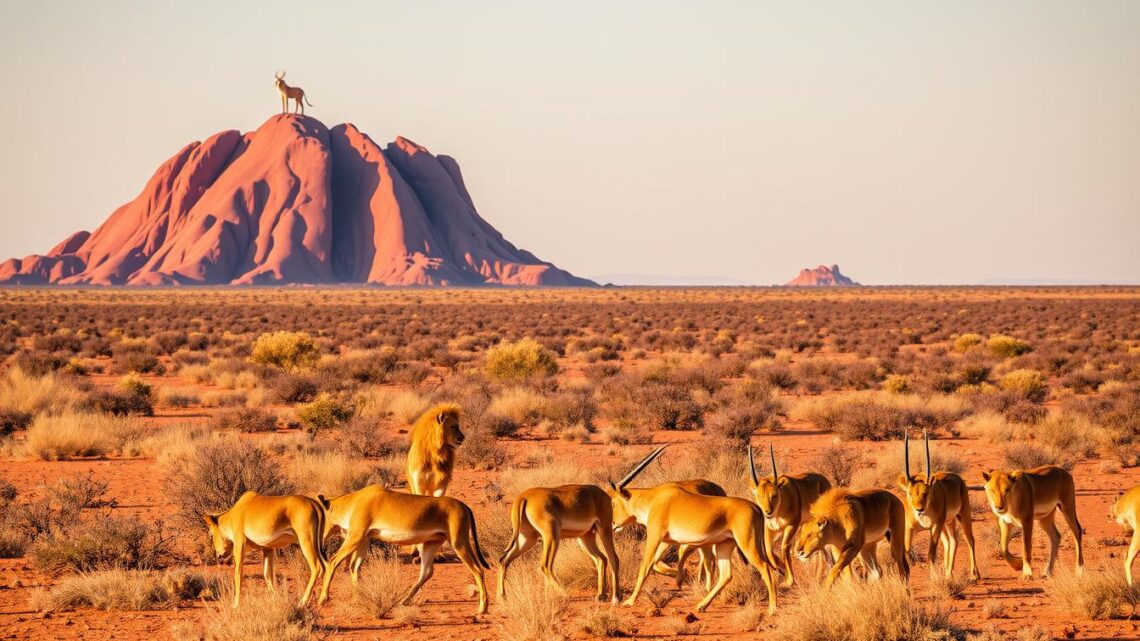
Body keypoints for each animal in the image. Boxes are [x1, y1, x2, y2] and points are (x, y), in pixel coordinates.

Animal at [316, 483, 490, 615]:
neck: (353, 502)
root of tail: (464, 506)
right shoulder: (363, 539)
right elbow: (355, 567)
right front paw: (357, 598)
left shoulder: (355, 537)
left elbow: (333, 561)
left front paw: (322, 598)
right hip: (431, 544)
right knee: (427, 572)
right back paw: (405, 600)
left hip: (459, 543)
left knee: (478, 569)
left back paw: (482, 608)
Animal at [611, 447, 779, 611]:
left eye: (613, 503)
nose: (613, 524)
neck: (652, 499)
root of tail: (756, 508)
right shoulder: (666, 540)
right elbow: (657, 563)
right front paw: (680, 579)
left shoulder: (654, 537)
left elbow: (645, 567)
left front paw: (630, 601)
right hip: (724, 545)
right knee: (726, 575)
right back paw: (702, 605)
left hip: (747, 545)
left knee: (767, 570)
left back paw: (772, 609)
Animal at [743, 444, 834, 583]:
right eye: (759, 495)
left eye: (774, 495)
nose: (767, 512)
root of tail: (825, 481)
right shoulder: (770, 529)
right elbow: (768, 551)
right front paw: (780, 567)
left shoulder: (791, 526)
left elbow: (784, 548)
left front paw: (789, 580)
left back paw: (818, 576)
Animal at [898, 428, 980, 579]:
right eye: (909, 492)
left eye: (926, 492)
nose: (919, 510)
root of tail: (958, 479)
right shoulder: (909, 528)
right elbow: (905, 553)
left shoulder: (935, 526)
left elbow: (931, 554)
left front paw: (934, 578)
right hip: (947, 523)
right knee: (951, 542)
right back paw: (948, 574)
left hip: (962, 515)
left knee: (969, 539)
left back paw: (974, 575)